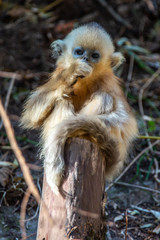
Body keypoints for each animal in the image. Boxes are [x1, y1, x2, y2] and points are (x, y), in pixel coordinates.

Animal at [20, 22, 137, 194]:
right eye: (79, 52)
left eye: (94, 55)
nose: (85, 58)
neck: (84, 82)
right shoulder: (58, 74)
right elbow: (31, 115)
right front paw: (72, 73)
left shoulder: (109, 83)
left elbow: (126, 122)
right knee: (62, 100)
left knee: (104, 98)